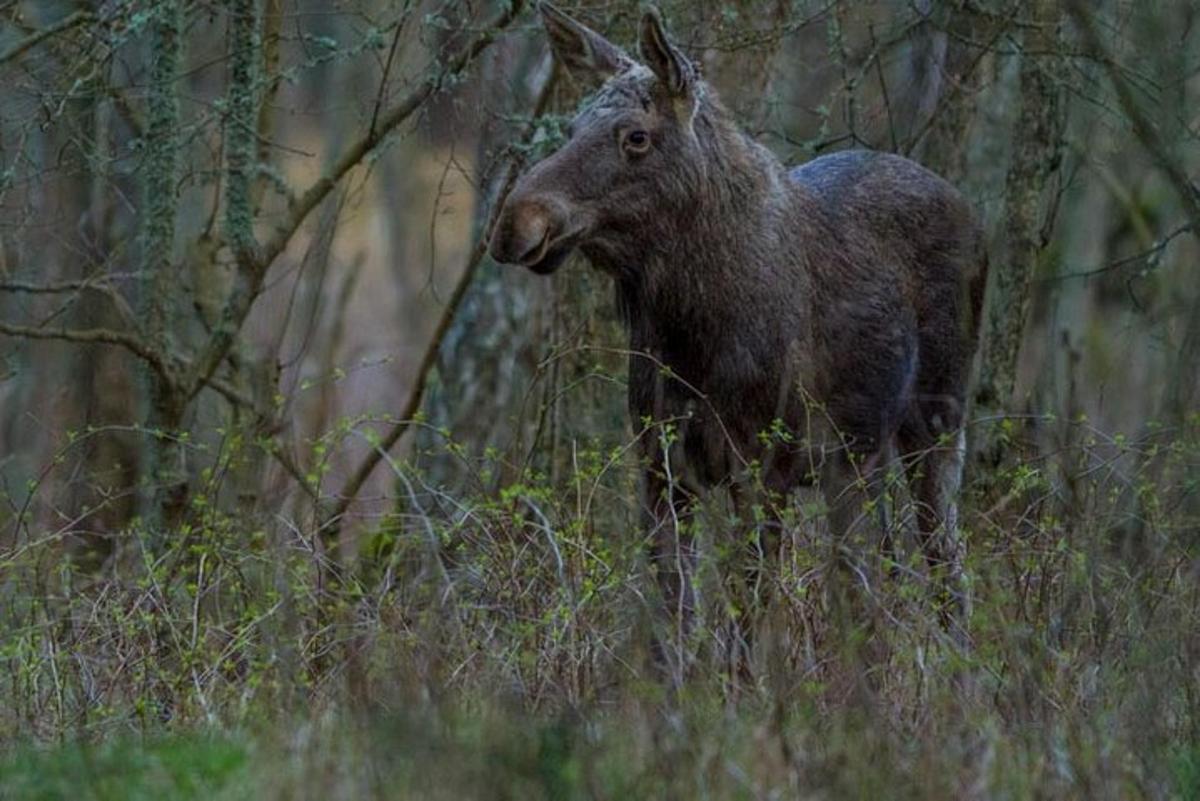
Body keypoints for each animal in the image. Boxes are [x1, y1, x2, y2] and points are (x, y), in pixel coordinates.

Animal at [487, 1, 984, 661]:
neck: (692, 334)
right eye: (570, 127)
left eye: (637, 137)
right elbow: (676, 621)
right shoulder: (660, 466)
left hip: (938, 421)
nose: (516, 222)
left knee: (945, 557)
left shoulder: (761, 467)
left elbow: (744, 624)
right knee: (876, 570)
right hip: (861, 458)